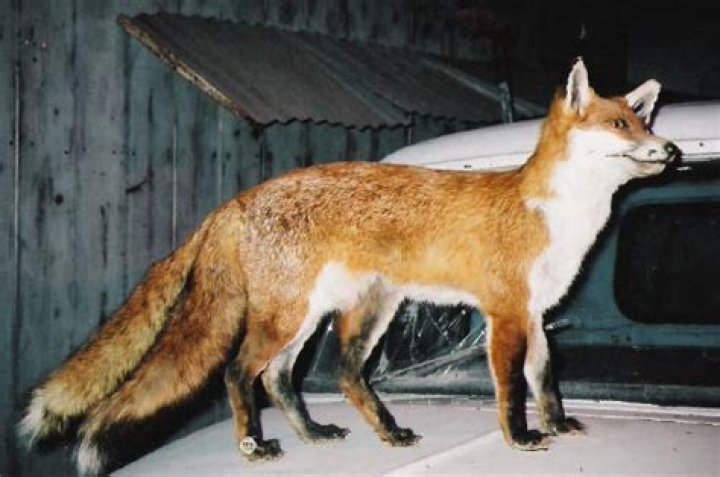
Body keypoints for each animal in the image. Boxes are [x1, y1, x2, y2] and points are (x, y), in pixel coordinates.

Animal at [18, 58, 679, 474]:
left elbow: (546, 381)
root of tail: (236, 201)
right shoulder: (506, 312)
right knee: (238, 372)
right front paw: (518, 438)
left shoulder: (537, 314)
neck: (553, 215)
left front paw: (558, 426)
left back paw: (349, 433)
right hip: (291, 316)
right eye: (619, 125)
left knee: (303, 377)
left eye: (644, 121)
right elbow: (512, 388)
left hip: (344, 313)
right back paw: (255, 445)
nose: (671, 150)